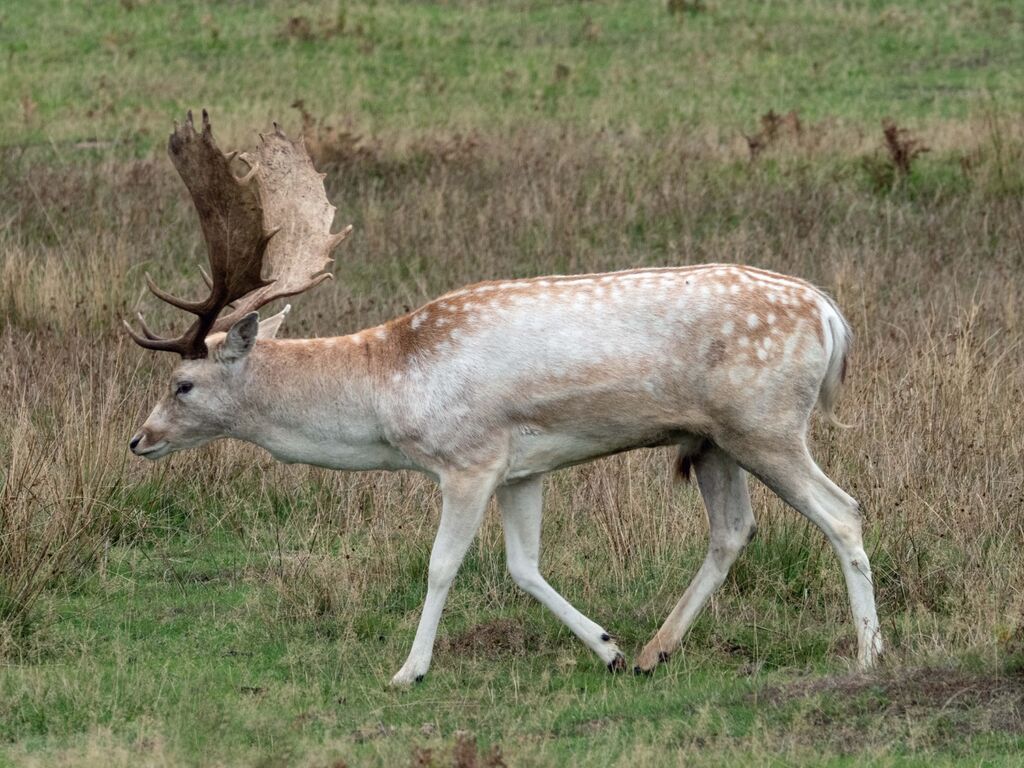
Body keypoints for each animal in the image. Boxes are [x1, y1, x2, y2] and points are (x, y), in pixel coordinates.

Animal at [126, 111, 883, 686]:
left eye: (182, 384)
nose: (139, 439)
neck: (389, 387)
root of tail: (830, 315)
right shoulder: (525, 468)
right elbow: (524, 566)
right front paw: (606, 648)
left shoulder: (471, 459)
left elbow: (442, 564)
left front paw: (409, 671)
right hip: (712, 440)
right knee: (732, 531)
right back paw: (652, 652)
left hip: (767, 424)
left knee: (842, 512)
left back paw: (869, 654)